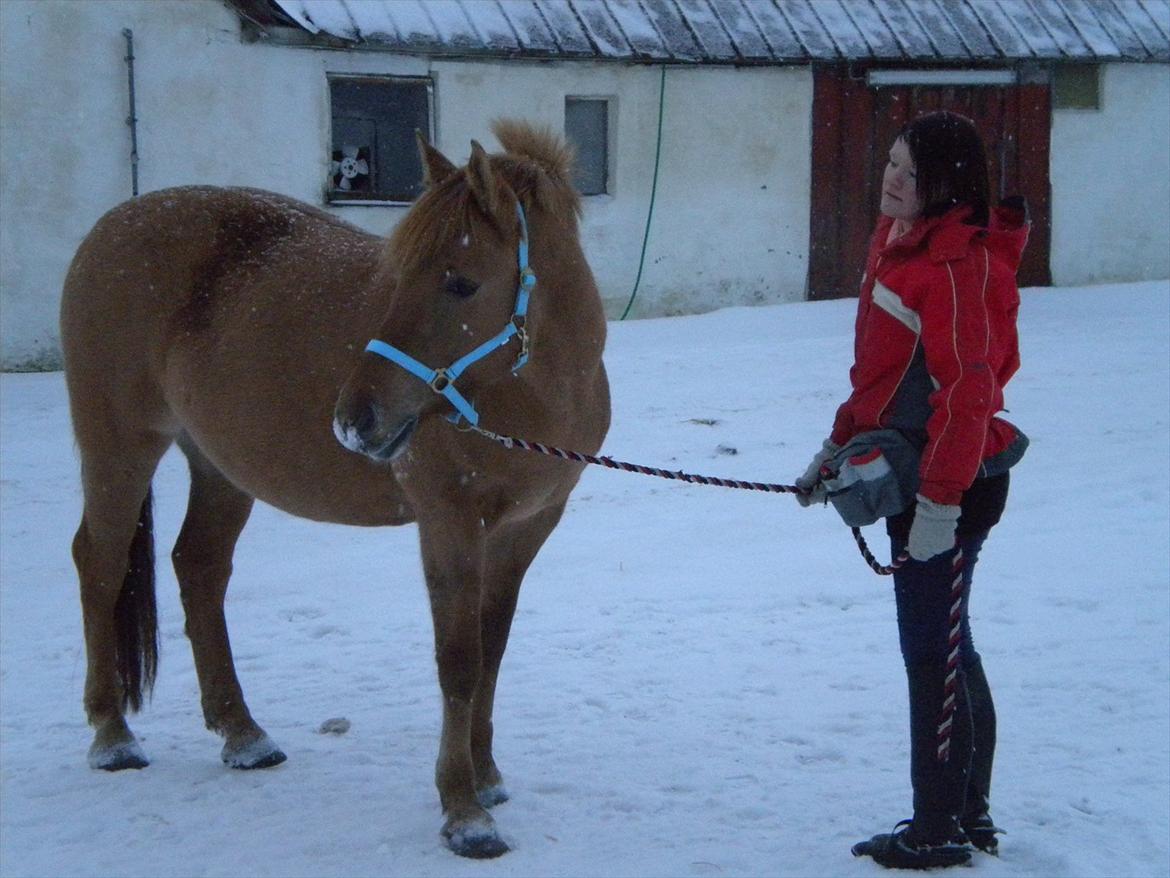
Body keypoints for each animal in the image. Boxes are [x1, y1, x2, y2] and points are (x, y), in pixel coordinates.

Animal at [60, 118, 613, 861]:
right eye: (396, 277)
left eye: (461, 283)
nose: (355, 420)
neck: (530, 394)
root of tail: (107, 229)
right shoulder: (449, 522)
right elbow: (459, 661)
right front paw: (464, 813)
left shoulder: (527, 527)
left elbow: (491, 649)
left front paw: (488, 777)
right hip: (120, 449)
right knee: (100, 562)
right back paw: (113, 736)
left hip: (221, 467)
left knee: (198, 568)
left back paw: (244, 735)